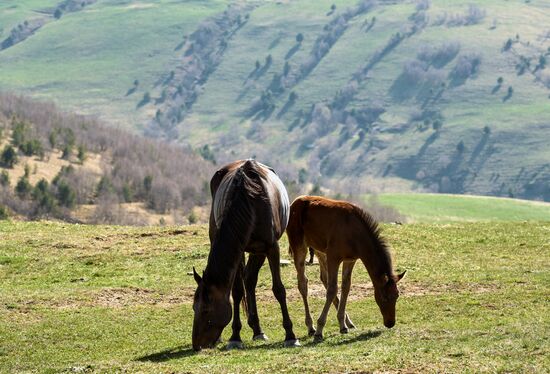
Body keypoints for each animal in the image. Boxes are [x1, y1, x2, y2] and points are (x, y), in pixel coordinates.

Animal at [192, 160, 300, 350]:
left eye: (205, 309)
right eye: (193, 308)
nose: (196, 344)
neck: (250, 203)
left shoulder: (271, 247)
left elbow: (278, 290)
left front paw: (290, 335)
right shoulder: (239, 249)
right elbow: (236, 292)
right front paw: (235, 336)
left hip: (258, 251)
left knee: (250, 279)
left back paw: (258, 330)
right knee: (246, 281)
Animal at [286, 196, 408, 342]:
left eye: (397, 295)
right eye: (384, 297)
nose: (390, 323)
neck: (354, 234)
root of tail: (294, 203)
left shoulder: (350, 259)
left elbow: (345, 286)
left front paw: (342, 324)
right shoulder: (333, 256)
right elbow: (332, 289)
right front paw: (320, 329)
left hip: (319, 249)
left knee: (323, 278)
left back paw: (347, 322)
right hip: (299, 245)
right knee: (303, 283)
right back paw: (311, 327)